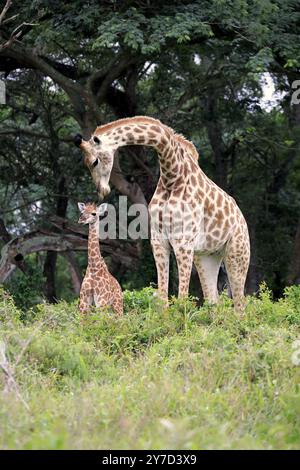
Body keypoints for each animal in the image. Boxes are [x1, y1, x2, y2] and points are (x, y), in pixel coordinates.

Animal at [74, 115, 250, 310]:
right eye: (86, 163)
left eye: (95, 161)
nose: (101, 190)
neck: (172, 176)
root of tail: (242, 219)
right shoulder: (159, 241)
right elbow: (162, 299)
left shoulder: (183, 242)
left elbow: (181, 299)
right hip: (207, 256)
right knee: (214, 301)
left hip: (237, 253)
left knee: (240, 303)